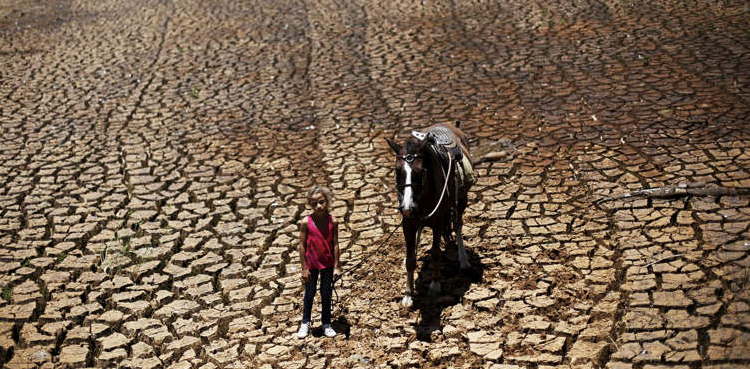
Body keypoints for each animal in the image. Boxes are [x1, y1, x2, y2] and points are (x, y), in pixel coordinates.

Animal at [388, 122, 476, 306]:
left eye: (421, 171)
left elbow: (436, 253)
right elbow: (411, 259)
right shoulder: (408, 222)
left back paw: (463, 260)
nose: (407, 207)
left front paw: (435, 285)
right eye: (397, 171)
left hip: (461, 198)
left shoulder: (438, 221)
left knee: (458, 224)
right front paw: (408, 294)